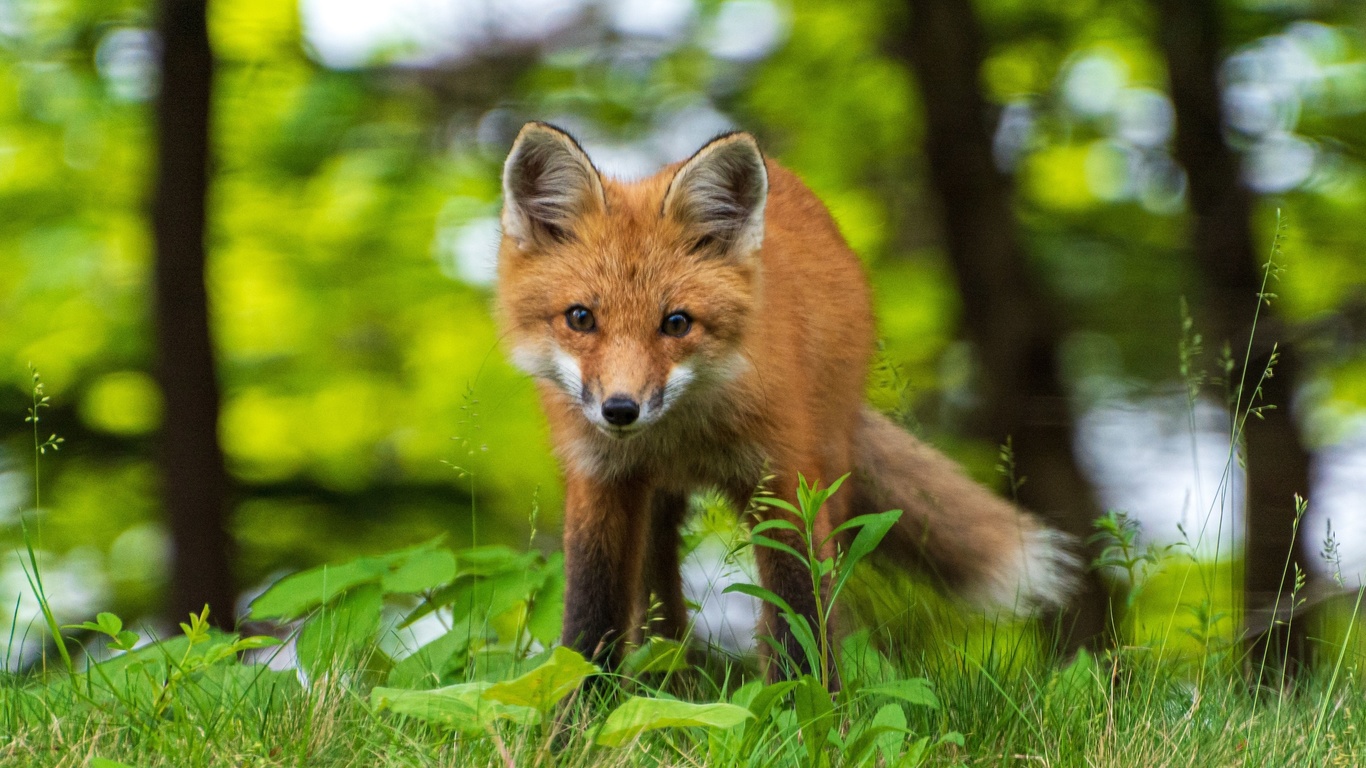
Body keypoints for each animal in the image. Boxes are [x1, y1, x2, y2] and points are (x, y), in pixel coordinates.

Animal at [494, 120, 1076, 675]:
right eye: (580, 318)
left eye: (676, 323)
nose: (620, 409)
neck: (680, 435)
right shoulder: (601, 482)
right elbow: (589, 624)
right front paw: (578, 713)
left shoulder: (785, 477)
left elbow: (800, 618)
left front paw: (809, 707)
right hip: (653, 511)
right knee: (659, 614)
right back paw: (669, 682)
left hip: (829, 469)